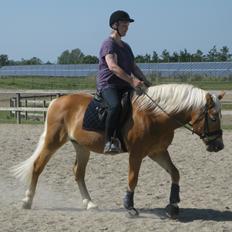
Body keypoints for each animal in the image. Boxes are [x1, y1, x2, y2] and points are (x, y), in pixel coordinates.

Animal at [12, 84, 225, 218]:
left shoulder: (157, 152)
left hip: (81, 146)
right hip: (53, 141)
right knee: (38, 166)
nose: (219, 146)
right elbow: (133, 179)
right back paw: (27, 201)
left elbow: (175, 173)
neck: (154, 115)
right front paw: (129, 207)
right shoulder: (137, 154)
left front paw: (173, 206)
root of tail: (57, 101)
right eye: (214, 116)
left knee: (78, 173)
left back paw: (89, 203)